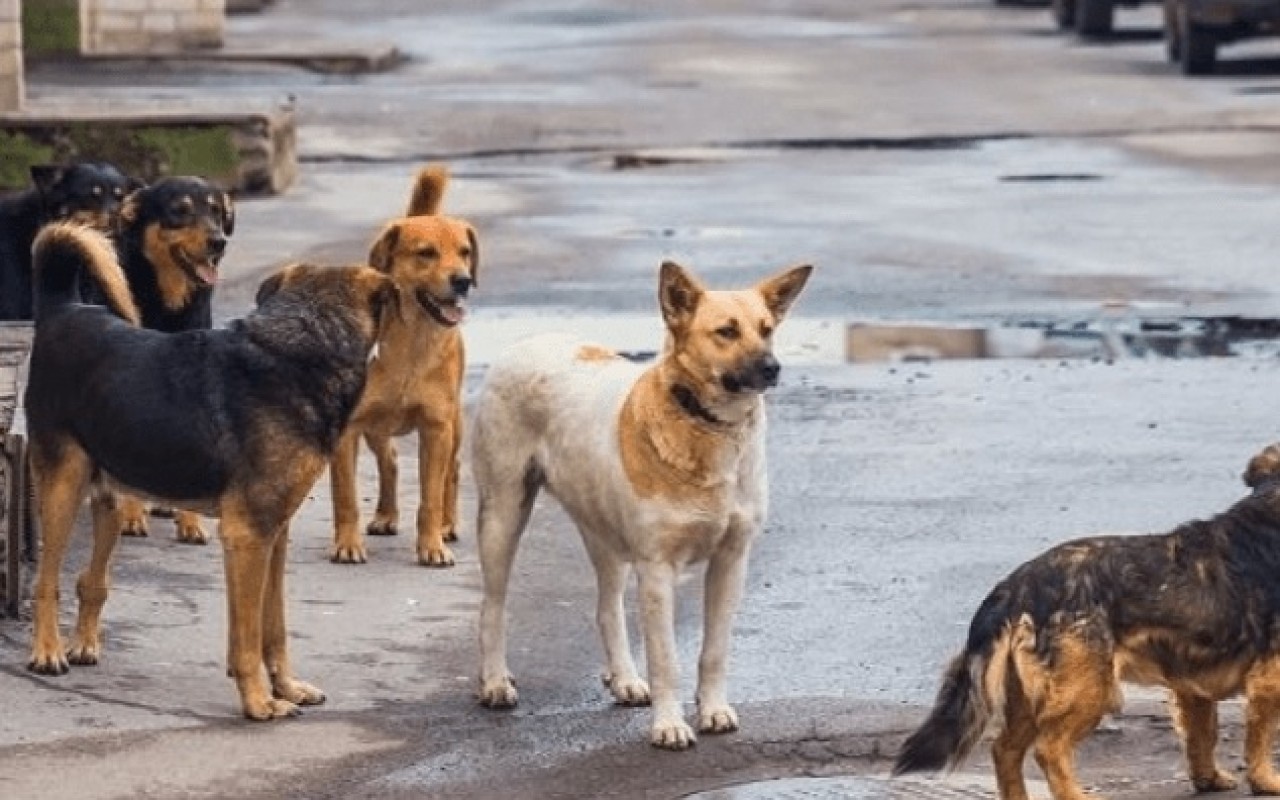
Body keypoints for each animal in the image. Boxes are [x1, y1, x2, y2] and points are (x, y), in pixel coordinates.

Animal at [108, 176, 236, 542]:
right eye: (179, 211)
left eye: (217, 211)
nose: (218, 242)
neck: (168, 305)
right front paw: (131, 516)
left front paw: (190, 523)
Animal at [327, 162, 478, 565]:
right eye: (426, 253)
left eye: (464, 252)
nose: (463, 281)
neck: (411, 345)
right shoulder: (347, 430)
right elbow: (345, 498)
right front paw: (347, 544)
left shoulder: (436, 429)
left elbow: (430, 498)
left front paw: (432, 545)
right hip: (376, 428)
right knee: (390, 460)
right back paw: (385, 515)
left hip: (454, 425)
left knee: (452, 472)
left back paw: (447, 524)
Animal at [471, 257, 808, 747]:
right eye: (726, 331)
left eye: (767, 330)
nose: (773, 368)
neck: (705, 424)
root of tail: (529, 341)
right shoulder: (657, 569)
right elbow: (666, 659)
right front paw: (669, 725)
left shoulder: (731, 560)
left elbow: (715, 650)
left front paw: (713, 709)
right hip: (503, 515)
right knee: (492, 606)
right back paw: (495, 681)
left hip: (603, 533)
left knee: (607, 608)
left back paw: (624, 678)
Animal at [890, 442, 1280, 798]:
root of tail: (1015, 588)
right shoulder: (1267, 680)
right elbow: (1259, 739)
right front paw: (1265, 782)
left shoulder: (1192, 684)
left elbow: (1202, 736)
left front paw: (1208, 779)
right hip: (1091, 690)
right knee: (1048, 750)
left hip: (1030, 696)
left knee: (1004, 749)